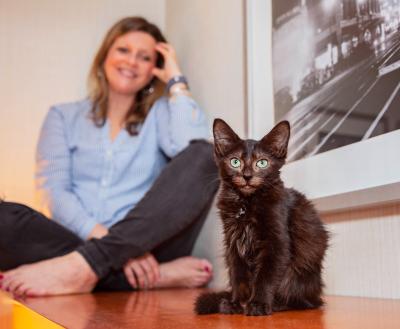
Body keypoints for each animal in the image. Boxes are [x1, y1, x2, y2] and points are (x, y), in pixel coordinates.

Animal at [195, 118, 330, 316]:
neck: (246, 204)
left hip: (301, 273)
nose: (247, 176)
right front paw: (236, 303)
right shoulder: (233, 244)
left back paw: (279, 304)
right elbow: (238, 277)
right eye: (235, 162)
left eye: (262, 163)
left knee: (304, 300)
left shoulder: (277, 242)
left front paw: (258, 304)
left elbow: (266, 276)